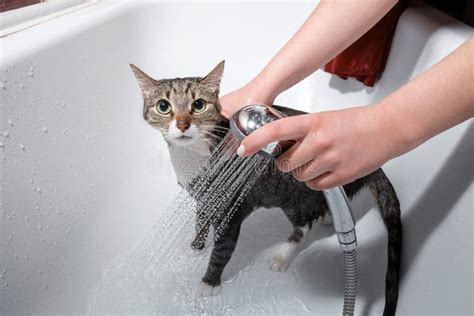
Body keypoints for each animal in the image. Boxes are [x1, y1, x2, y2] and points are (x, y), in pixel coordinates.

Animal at [131, 60, 404, 314]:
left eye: (198, 104)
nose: (182, 124)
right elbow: (201, 221)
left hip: (296, 196)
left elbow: (221, 251)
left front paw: (209, 283)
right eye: (164, 107)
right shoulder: (205, 197)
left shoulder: (230, 209)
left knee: (303, 226)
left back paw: (282, 256)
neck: (191, 157)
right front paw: (196, 247)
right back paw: (327, 216)